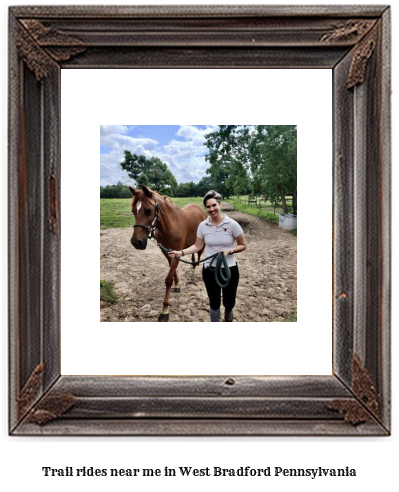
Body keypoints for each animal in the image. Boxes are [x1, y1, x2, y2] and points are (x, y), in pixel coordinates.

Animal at [130, 186, 206, 320]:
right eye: (134, 211)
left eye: (148, 210)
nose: (137, 242)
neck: (170, 226)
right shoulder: (166, 252)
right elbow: (172, 269)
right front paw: (177, 285)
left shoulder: (176, 253)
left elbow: (168, 279)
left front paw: (165, 310)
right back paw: (192, 266)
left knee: (199, 254)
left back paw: (196, 270)